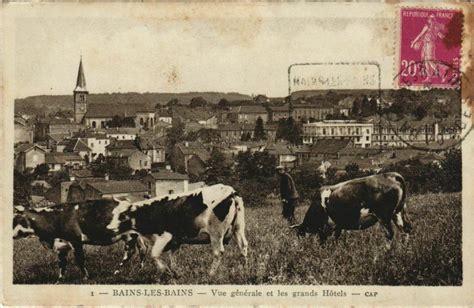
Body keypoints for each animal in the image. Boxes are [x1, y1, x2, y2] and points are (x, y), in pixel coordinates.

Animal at [12, 199, 146, 282]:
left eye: (16, 218)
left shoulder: (75, 240)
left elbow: (79, 260)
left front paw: (86, 277)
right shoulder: (61, 245)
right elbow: (61, 264)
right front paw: (59, 280)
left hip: (129, 236)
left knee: (130, 252)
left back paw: (117, 271)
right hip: (136, 235)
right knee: (143, 249)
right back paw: (140, 269)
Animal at [106, 184, 248, 278]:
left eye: (123, 216)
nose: (109, 228)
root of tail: (230, 190)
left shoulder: (164, 236)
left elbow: (154, 254)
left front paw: (165, 270)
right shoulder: (176, 241)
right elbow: (172, 258)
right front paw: (175, 272)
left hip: (216, 233)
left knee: (218, 252)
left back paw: (211, 274)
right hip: (239, 228)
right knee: (243, 246)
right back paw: (243, 269)